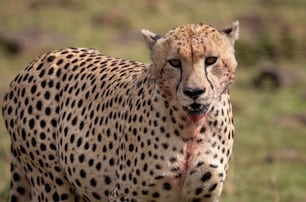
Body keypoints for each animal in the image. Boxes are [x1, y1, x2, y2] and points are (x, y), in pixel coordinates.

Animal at [2, 20, 239, 202]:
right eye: (174, 62)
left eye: (211, 60)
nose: (194, 92)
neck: (191, 128)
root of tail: (38, 60)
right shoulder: (126, 194)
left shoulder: (203, 195)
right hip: (52, 183)